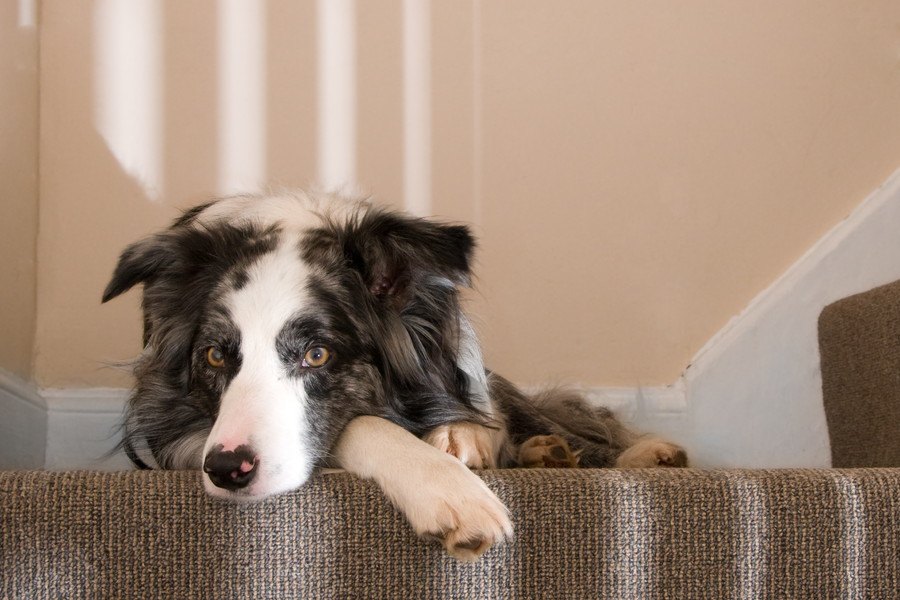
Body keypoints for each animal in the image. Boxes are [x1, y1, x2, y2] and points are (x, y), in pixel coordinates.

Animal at [102, 192, 684, 564]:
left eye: (316, 354)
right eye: (216, 358)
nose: (226, 471)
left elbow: (476, 415)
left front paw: (463, 438)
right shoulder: (183, 432)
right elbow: (364, 425)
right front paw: (449, 489)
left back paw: (627, 453)